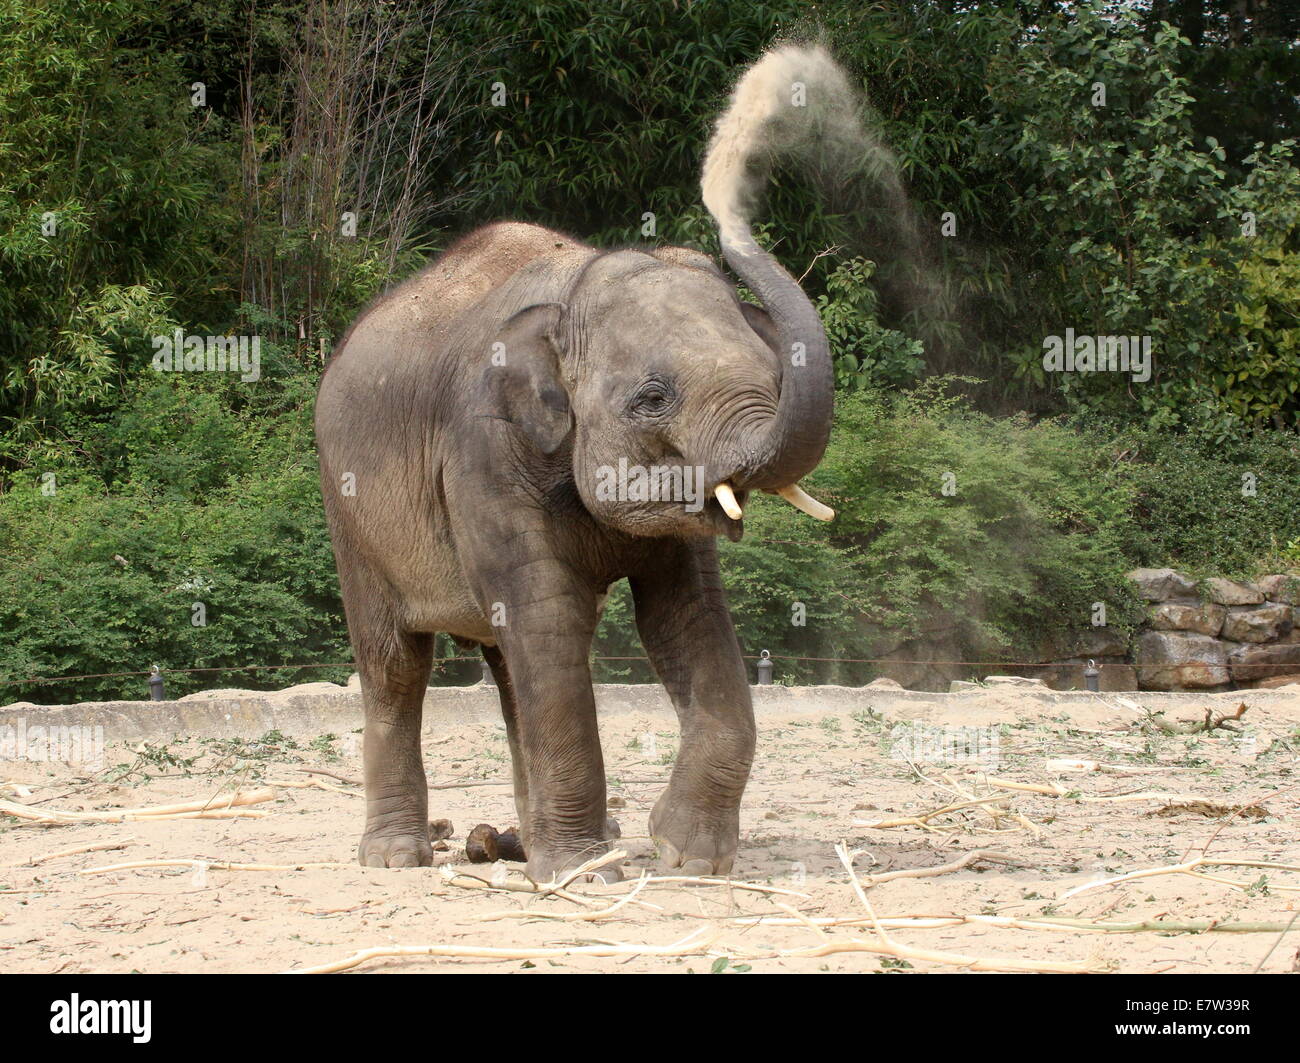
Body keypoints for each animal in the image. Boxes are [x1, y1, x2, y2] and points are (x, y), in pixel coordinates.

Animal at [314, 43, 842, 878]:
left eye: (769, 366)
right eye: (652, 397)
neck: (574, 286)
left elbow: (685, 613)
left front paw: (684, 855)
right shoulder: (482, 445)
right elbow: (548, 610)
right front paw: (585, 872)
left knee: (506, 667)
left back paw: (509, 843)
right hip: (350, 510)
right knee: (396, 664)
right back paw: (401, 856)